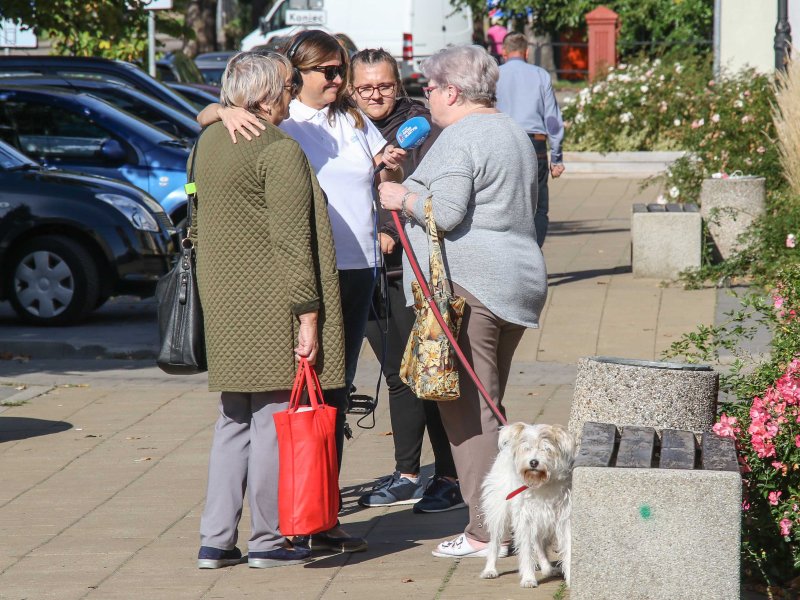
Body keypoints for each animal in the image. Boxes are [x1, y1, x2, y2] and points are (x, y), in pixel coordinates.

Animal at [479, 422, 576, 589]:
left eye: (546, 449)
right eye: (527, 448)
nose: (533, 462)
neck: (541, 484)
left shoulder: (563, 520)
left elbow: (567, 548)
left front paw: (570, 579)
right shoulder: (525, 521)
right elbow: (526, 551)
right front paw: (529, 578)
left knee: (538, 544)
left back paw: (548, 569)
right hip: (499, 512)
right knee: (495, 542)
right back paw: (490, 569)